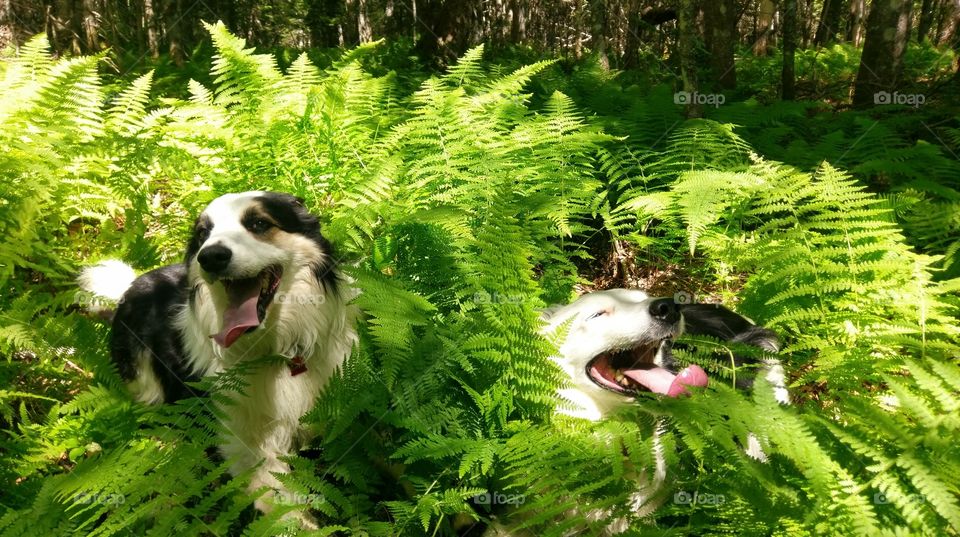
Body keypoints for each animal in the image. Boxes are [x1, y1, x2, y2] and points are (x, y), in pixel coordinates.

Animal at [79, 192, 356, 524]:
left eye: (259, 223)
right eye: (203, 234)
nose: (210, 257)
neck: (275, 351)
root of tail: (128, 287)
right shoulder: (237, 436)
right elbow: (275, 496)